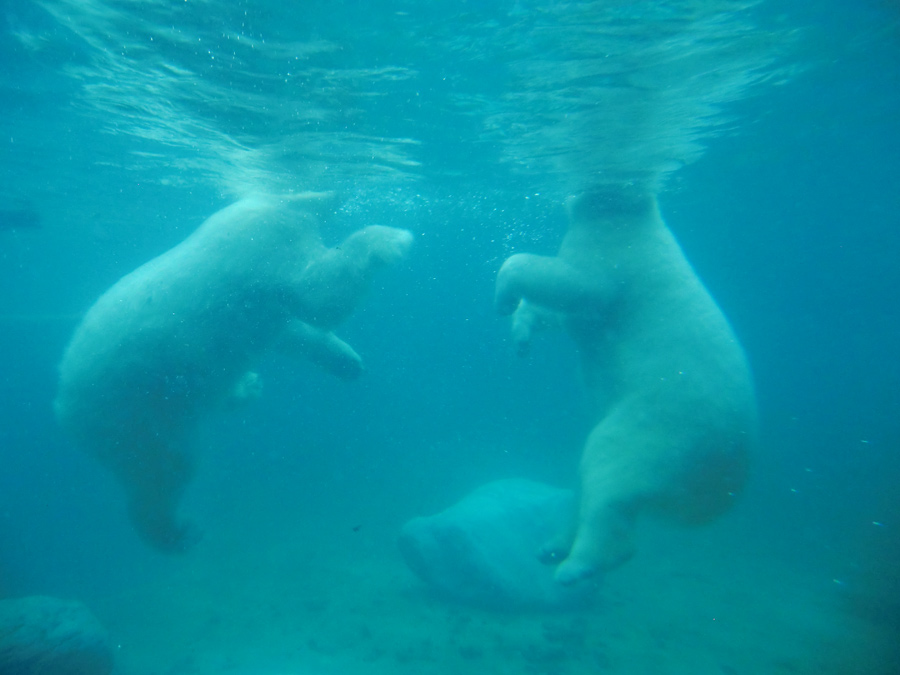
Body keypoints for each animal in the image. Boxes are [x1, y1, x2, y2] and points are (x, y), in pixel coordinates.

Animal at [52, 193, 412, 552]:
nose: (342, 194)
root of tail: (64, 408)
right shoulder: (264, 247)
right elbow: (319, 294)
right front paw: (393, 238)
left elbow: (293, 331)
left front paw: (348, 361)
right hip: (137, 410)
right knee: (166, 471)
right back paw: (179, 532)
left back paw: (247, 388)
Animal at [496, 186, 756, 588]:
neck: (629, 211)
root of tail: (720, 485)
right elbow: (560, 311)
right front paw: (521, 336)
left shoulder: (618, 258)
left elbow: (571, 283)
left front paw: (504, 296)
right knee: (586, 481)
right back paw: (552, 546)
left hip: (662, 429)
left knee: (609, 470)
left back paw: (575, 566)